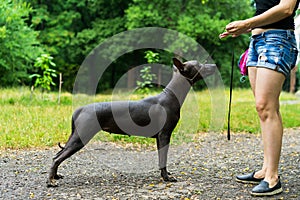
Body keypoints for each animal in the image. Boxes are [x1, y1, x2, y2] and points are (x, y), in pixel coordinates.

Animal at [47, 57, 216, 188]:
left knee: (57, 155)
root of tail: (80, 109)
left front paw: (165, 175)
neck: (171, 96)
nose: (214, 65)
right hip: (80, 138)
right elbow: (163, 159)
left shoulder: (159, 137)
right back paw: (50, 182)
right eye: (200, 65)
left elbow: (161, 158)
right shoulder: (165, 135)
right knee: (56, 158)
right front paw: (167, 178)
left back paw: (55, 176)